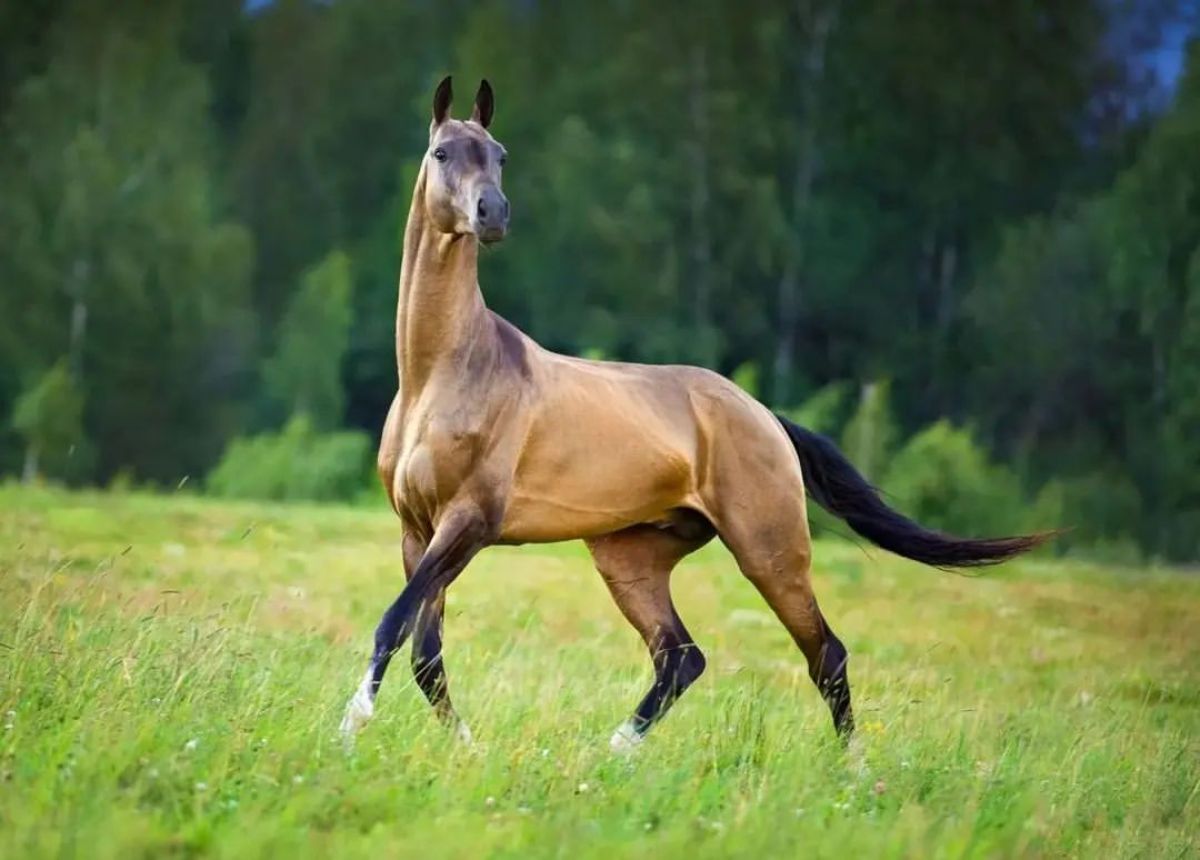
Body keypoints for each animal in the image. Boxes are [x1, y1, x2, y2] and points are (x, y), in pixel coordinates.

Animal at [340, 77, 1051, 748]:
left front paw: (351, 727)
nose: (493, 213)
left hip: (769, 551)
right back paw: (612, 753)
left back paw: (854, 773)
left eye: (500, 155)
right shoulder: (418, 531)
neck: (444, 374)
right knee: (680, 657)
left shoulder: (468, 523)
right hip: (630, 560)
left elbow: (393, 625)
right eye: (443, 152)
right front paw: (463, 747)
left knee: (825, 654)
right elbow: (424, 651)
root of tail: (765, 416)